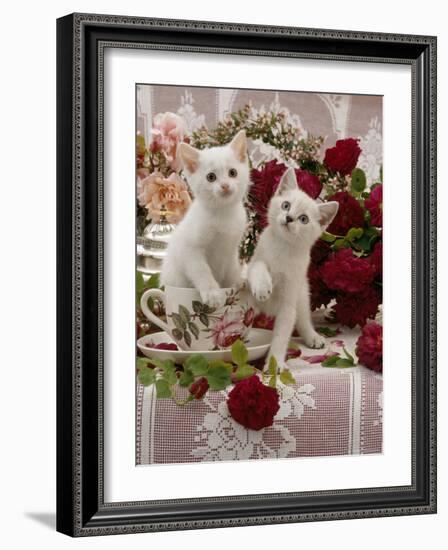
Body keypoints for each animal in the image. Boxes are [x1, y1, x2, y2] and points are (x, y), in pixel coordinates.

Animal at [160, 130, 250, 310]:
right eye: (211, 177)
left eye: (233, 173)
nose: (225, 186)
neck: (223, 214)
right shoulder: (190, 250)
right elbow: (202, 271)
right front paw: (213, 293)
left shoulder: (231, 249)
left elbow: (232, 268)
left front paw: (237, 281)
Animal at [247, 168, 338, 366]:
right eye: (286, 205)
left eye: (303, 219)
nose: (289, 218)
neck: (283, 247)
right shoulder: (253, 262)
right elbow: (259, 266)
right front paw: (263, 287)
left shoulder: (289, 300)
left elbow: (282, 334)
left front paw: (275, 364)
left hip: (302, 293)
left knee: (303, 318)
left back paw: (313, 337)